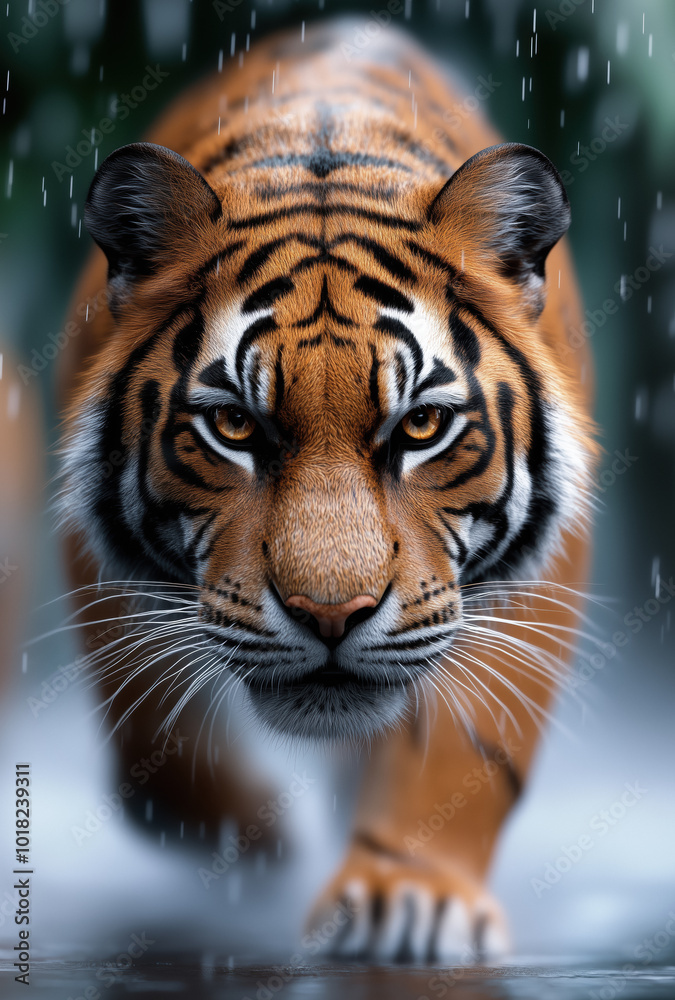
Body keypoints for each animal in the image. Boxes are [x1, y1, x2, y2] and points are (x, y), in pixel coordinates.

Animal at [58, 20, 596, 961]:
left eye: (421, 427)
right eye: (234, 427)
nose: (330, 615)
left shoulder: (536, 575)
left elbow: (466, 747)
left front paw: (407, 899)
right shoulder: (97, 560)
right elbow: (150, 744)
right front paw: (253, 843)